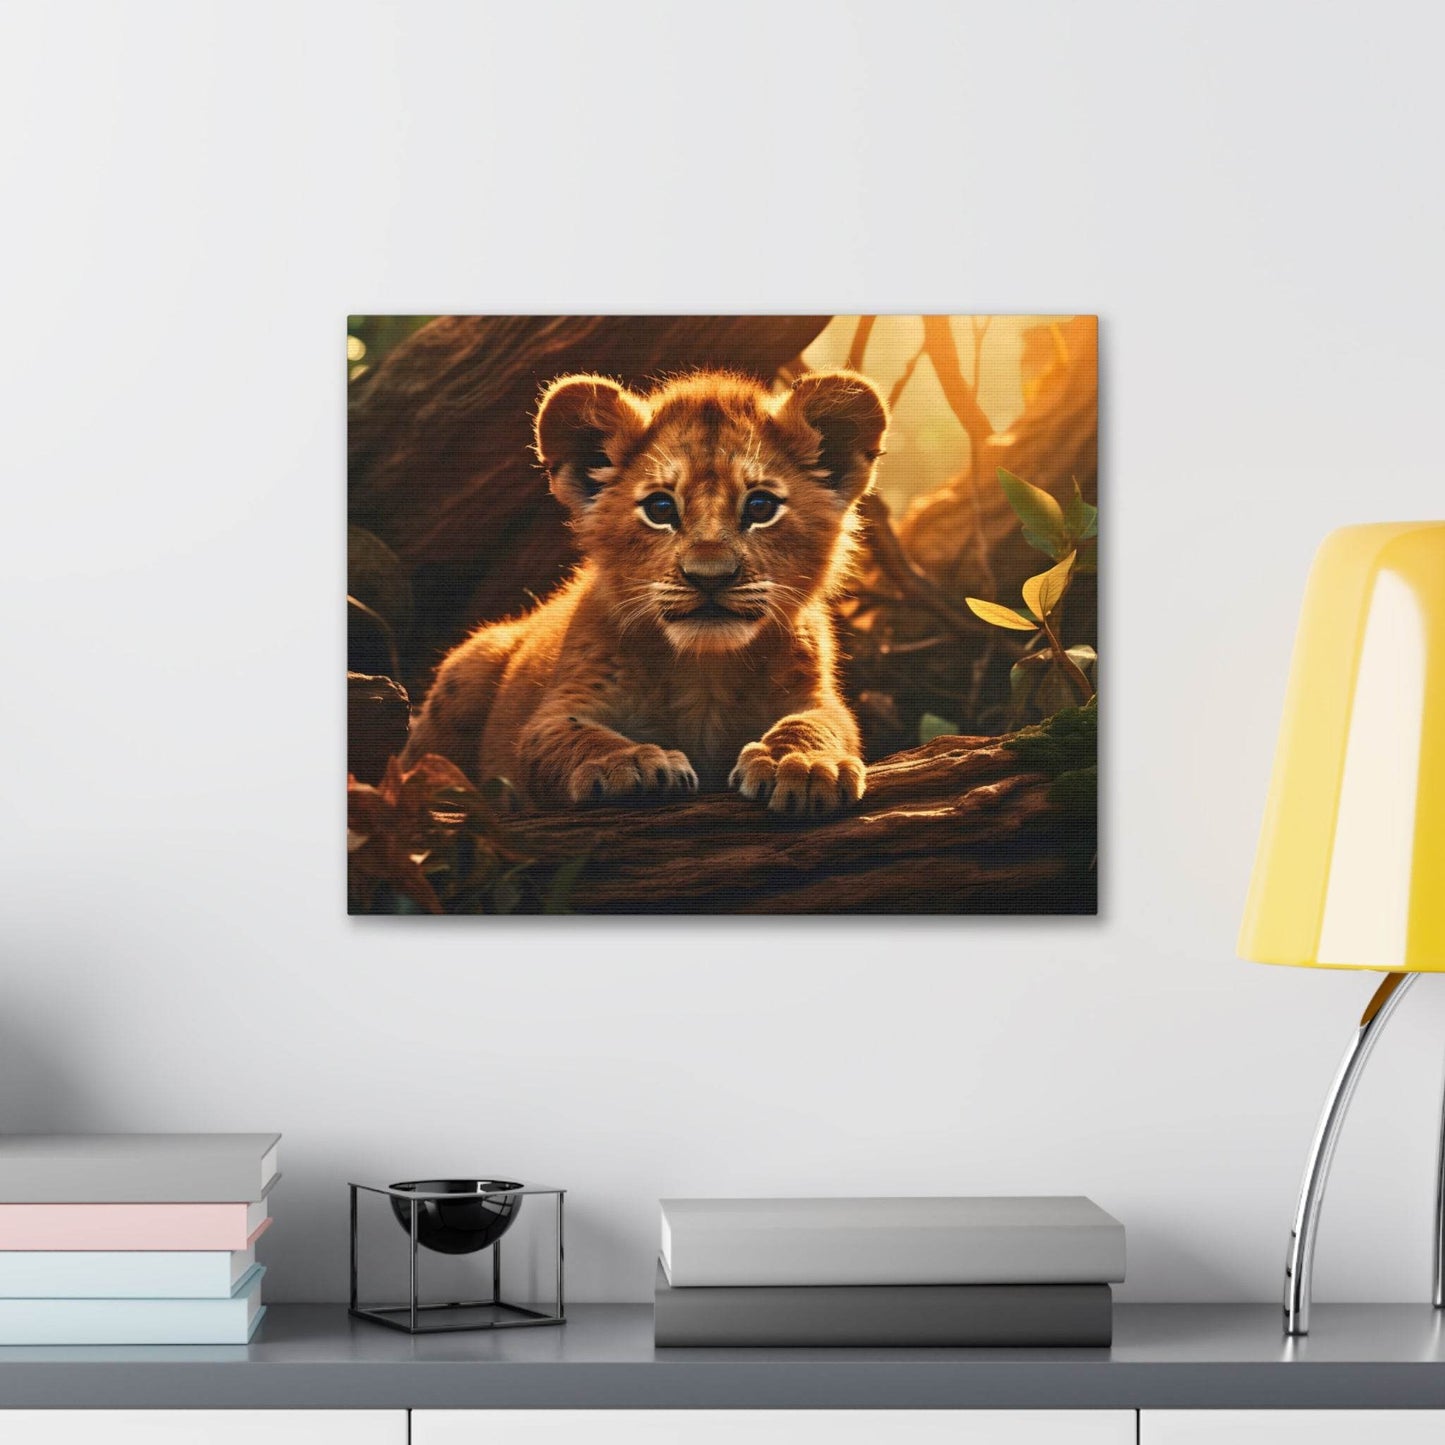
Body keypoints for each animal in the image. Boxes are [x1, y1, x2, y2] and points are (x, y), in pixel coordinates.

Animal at [400, 367, 889, 816]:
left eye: (761, 506)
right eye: (660, 508)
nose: (710, 576)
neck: (705, 672)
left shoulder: (817, 696)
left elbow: (817, 723)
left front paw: (802, 764)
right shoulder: (558, 708)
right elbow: (573, 736)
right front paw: (628, 763)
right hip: (469, 666)